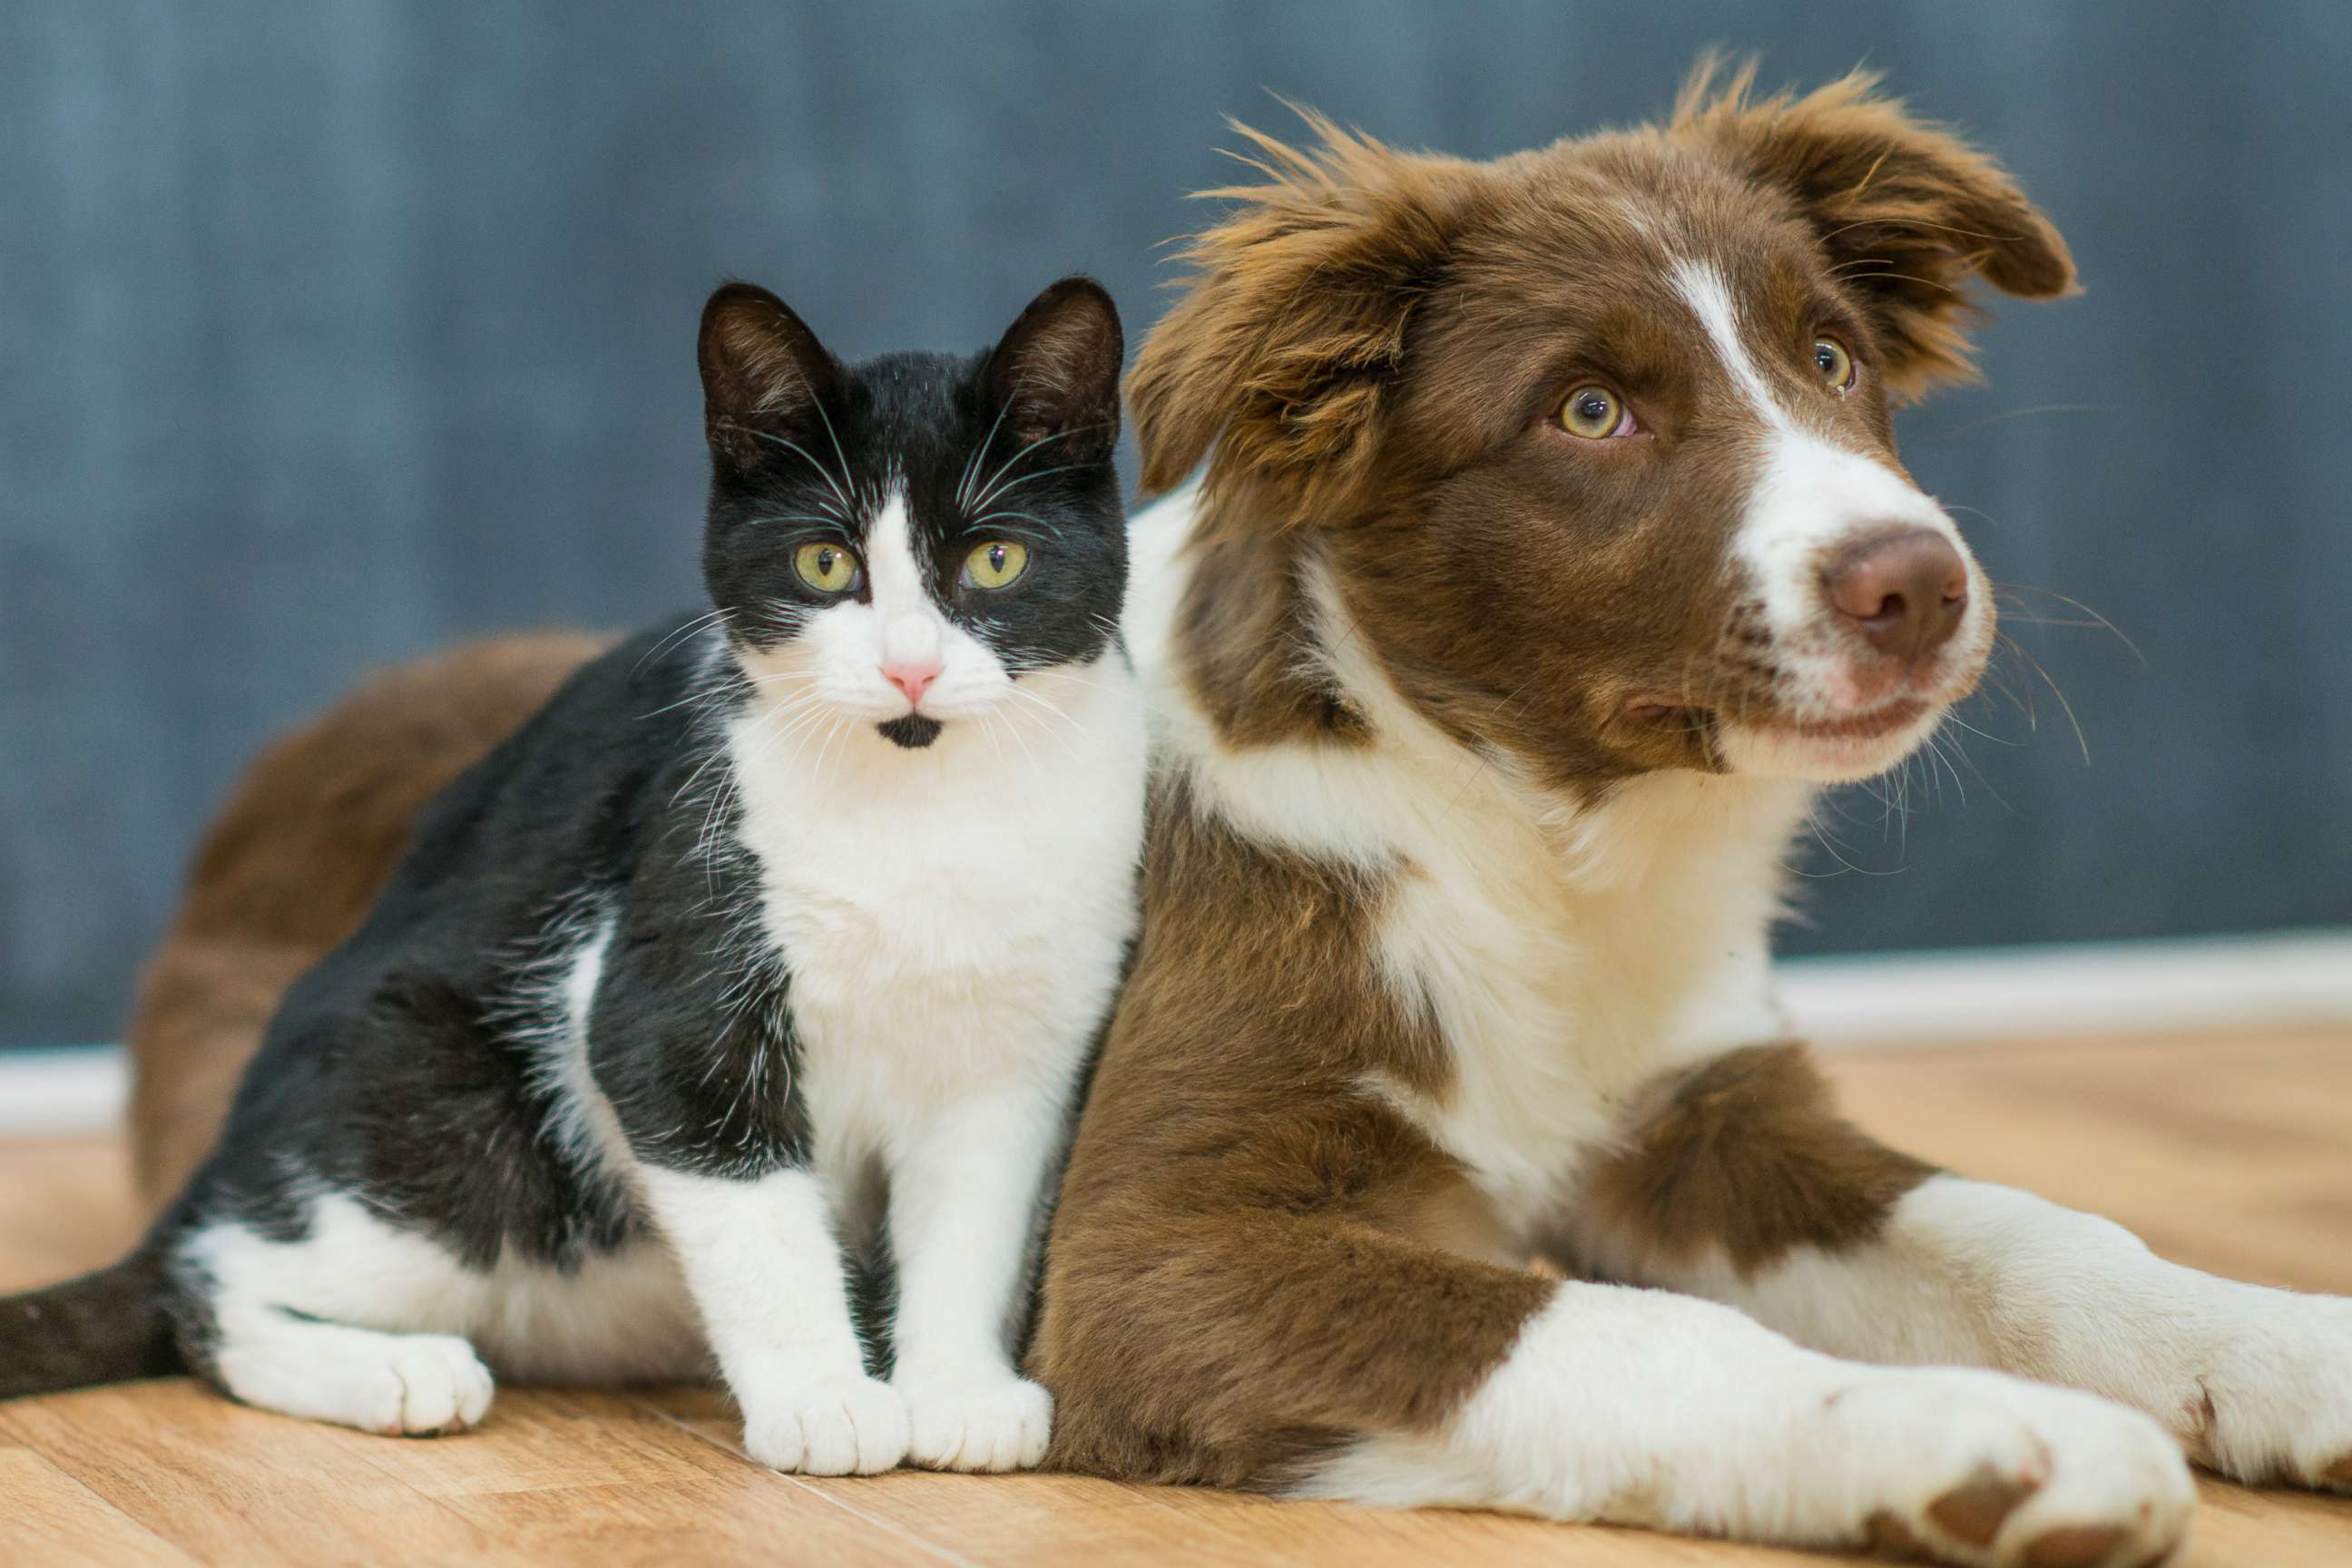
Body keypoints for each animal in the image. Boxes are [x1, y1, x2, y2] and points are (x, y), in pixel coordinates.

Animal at [0, 272, 1147, 1475]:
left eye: (997, 560)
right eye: (826, 563)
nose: (910, 668)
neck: (925, 810)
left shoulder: (1020, 1052)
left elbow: (974, 1218)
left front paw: (958, 1391)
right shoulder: (667, 980)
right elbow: (756, 1217)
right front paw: (827, 1400)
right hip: (440, 1109)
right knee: (213, 1282)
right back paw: (393, 1370)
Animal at [119, 70, 2342, 1568]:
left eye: (1830, 355)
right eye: (1590, 411)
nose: (1919, 585)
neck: (1518, 836)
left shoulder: (1701, 1109)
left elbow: (2026, 1225)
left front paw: (2279, 1348)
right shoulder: (1150, 1248)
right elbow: (1616, 1332)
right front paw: (1975, 1440)